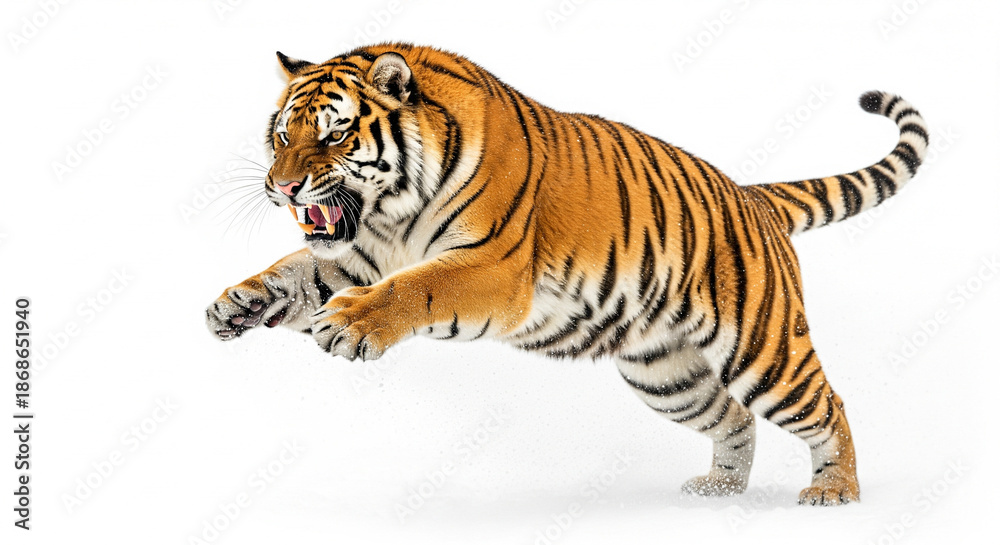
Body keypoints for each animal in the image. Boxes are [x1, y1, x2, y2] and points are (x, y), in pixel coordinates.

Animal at [205, 43, 928, 506]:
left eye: (333, 136)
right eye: (282, 135)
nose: (281, 187)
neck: (394, 209)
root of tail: (752, 195)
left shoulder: (492, 268)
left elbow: (415, 288)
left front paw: (353, 323)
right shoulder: (357, 255)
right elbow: (293, 271)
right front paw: (236, 303)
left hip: (764, 347)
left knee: (827, 404)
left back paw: (835, 491)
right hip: (665, 374)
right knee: (732, 418)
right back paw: (719, 491)